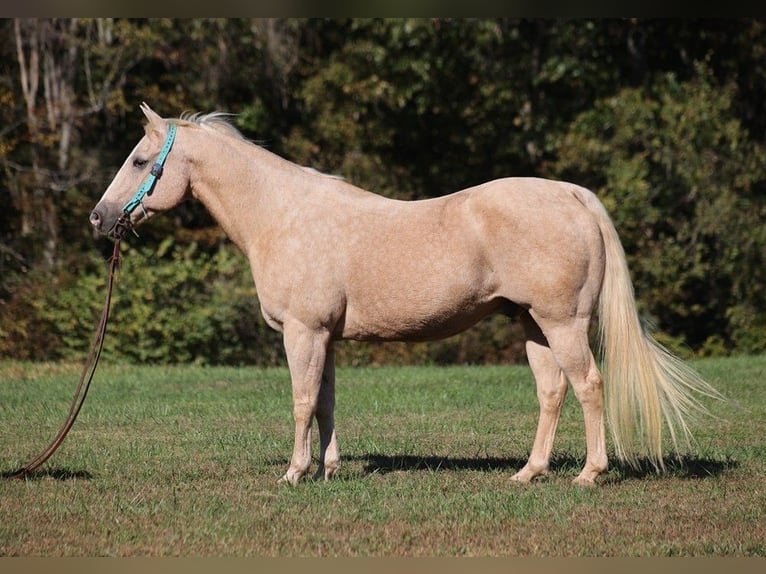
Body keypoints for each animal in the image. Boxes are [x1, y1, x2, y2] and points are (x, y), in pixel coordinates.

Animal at [90, 103, 721, 486]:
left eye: (140, 160)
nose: (99, 218)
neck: (284, 216)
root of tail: (571, 193)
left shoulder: (303, 333)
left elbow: (300, 400)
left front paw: (294, 473)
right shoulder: (327, 337)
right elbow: (325, 402)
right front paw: (329, 469)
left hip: (562, 322)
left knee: (588, 385)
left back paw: (588, 473)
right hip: (533, 326)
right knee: (552, 391)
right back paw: (528, 472)